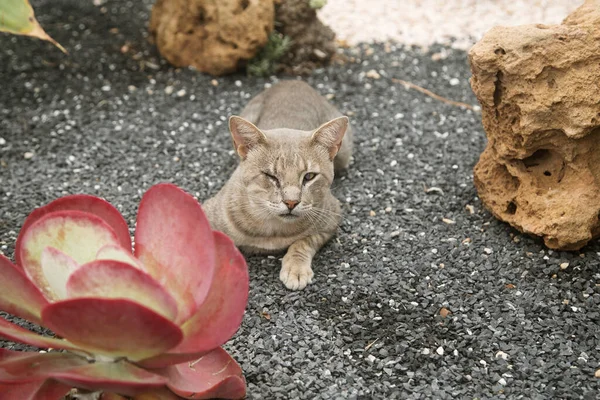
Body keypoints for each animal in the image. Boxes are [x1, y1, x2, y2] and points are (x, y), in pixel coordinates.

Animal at [203, 79, 352, 290]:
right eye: (270, 176)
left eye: (309, 176)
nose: (291, 202)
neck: (271, 228)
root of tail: (294, 81)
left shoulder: (331, 218)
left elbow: (303, 241)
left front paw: (296, 267)